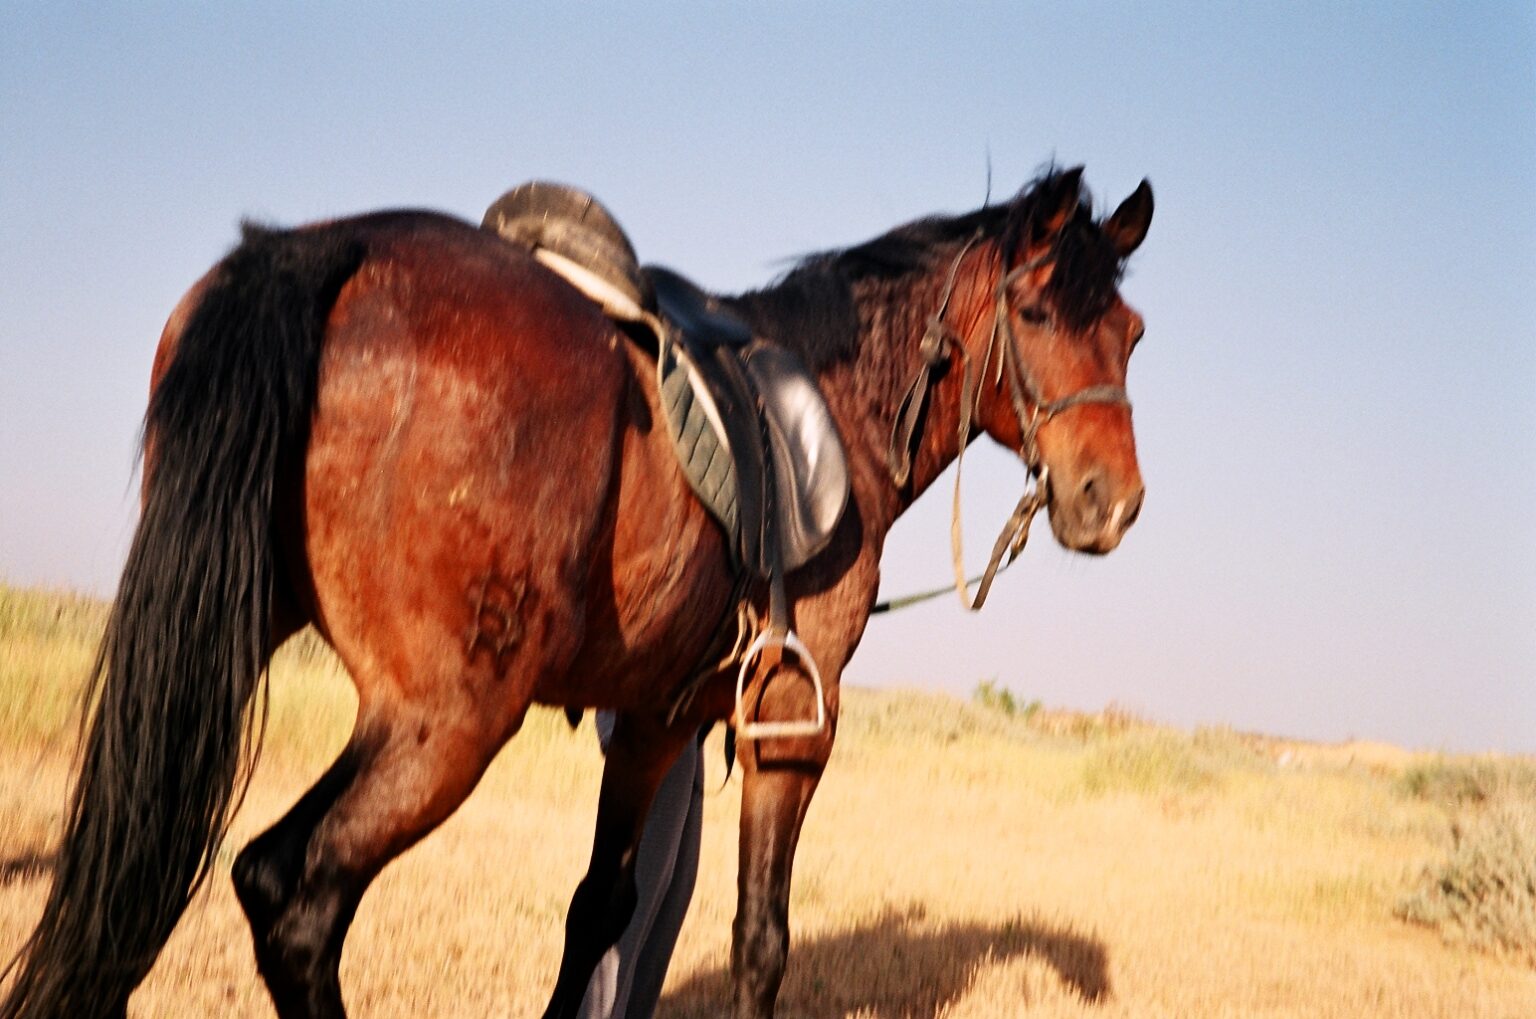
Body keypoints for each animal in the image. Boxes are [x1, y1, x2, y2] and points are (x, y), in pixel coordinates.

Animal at [0, 166, 1152, 1019]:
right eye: (1037, 311)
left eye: (1133, 333)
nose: (1113, 501)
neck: (841, 409)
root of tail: (323, 250)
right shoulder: (788, 721)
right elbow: (760, 937)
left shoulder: (652, 723)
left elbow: (601, 908)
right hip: (447, 722)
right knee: (292, 895)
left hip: (219, 652)